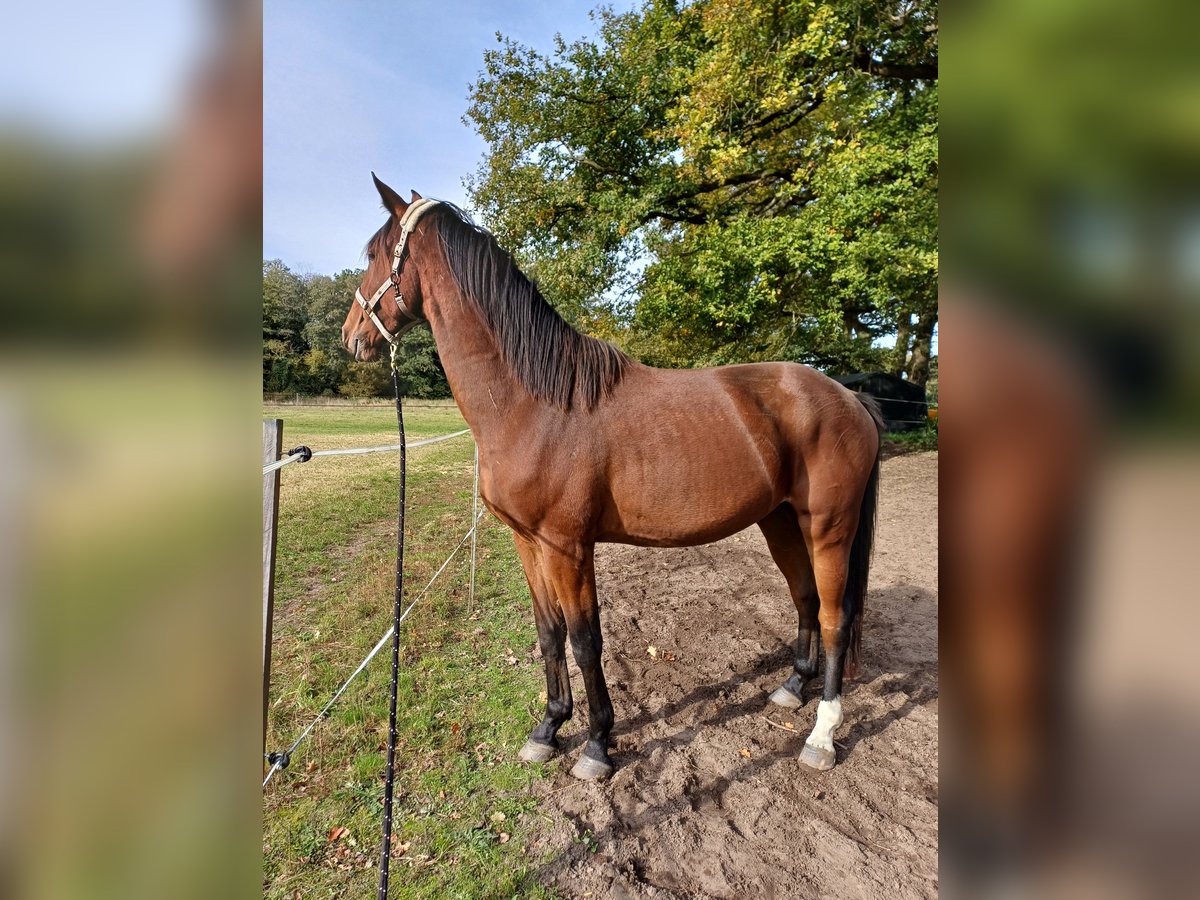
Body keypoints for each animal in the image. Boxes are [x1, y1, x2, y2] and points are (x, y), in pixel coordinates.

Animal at [338, 176, 883, 782]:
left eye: (373, 254)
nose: (350, 336)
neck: (538, 402)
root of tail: (849, 398)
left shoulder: (569, 547)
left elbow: (584, 641)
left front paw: (597, 744)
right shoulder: (530, 543)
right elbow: (548, 633)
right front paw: (548, 729)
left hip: (829, 528)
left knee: (835, 616)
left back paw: (822, 735)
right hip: (782, 522)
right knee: (805, 598)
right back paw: (792, 688)